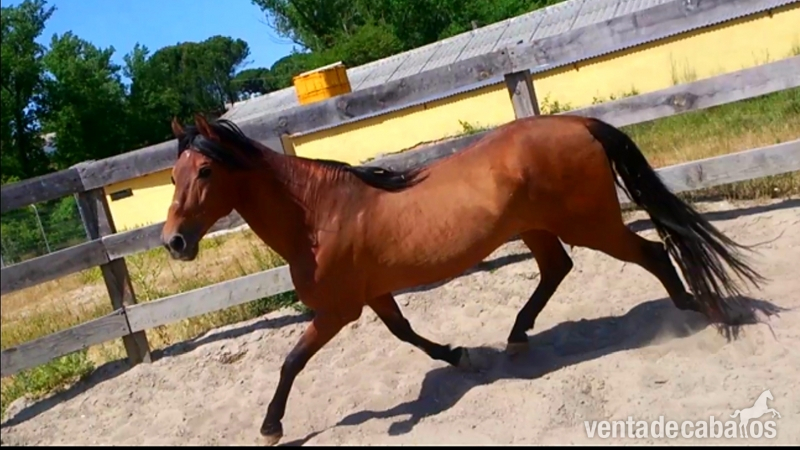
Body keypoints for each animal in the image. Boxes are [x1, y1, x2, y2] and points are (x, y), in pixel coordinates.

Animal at [161, 113, 765, 445]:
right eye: (173, 175)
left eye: (206, 171)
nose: (174, 243)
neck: (318, 215)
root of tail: (579, 123)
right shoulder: (374, 295)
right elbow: (406, 334)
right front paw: (461, 356)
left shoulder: (338, 311)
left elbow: (291, 361)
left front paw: (271, 427)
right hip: (539, 228)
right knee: (558, 269)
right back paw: (517, 337)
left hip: (591, 224)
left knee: (652, 252)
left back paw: (700, 310)